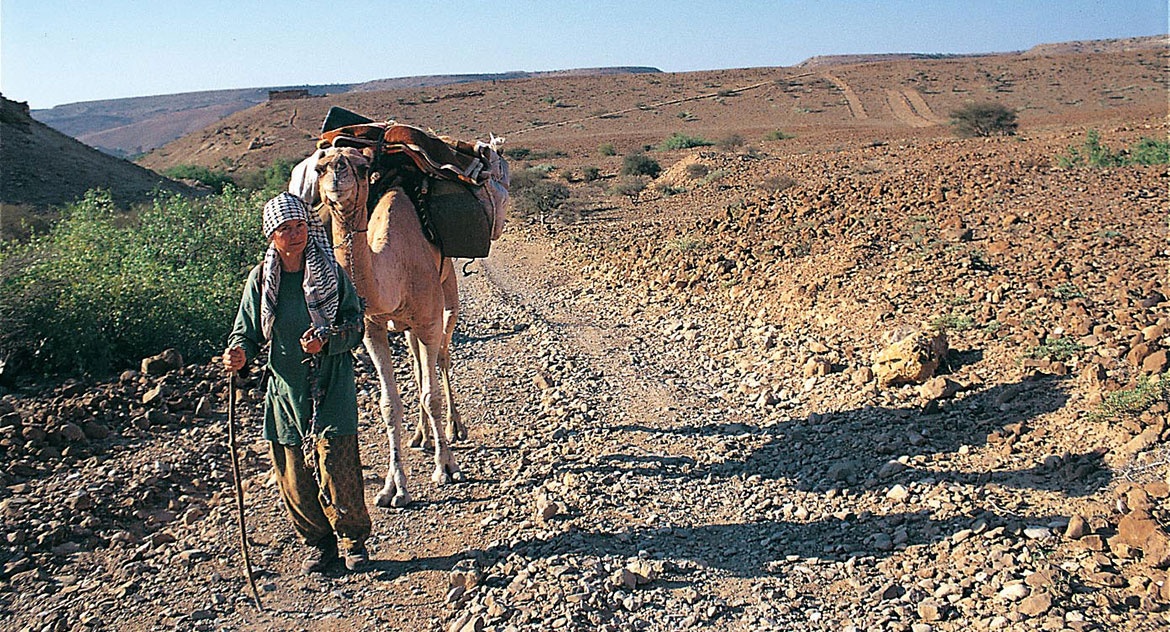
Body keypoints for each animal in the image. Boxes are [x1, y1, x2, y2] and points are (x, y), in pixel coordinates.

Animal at [318, 145, 467, 505]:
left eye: (361, 166)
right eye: (319, 167)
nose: (336, 172)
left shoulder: (429, 321)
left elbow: (432, 395)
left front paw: (446, 468)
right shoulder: (372, 330)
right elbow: (389, 404)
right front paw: (393, 487)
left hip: (447, 294)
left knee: (443, 357)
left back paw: (454, 428)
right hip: (410, 327)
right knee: (416, 363)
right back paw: (421, 435)